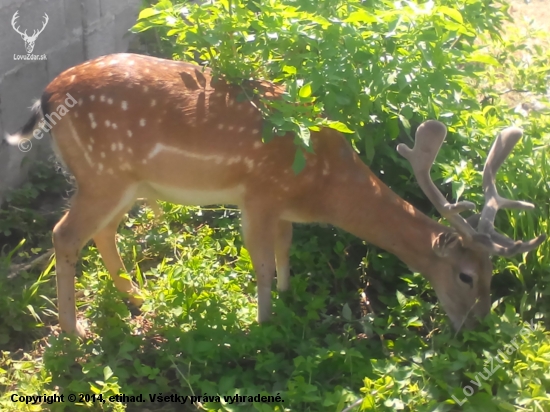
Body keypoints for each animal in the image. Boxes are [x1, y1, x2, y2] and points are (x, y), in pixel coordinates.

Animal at [5, 53, 548, 340]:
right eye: (466, 275)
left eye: (494, 275)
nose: (478, 326)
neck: (323, 187)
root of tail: (47, 97)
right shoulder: (259, 193)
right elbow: (261, 260)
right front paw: (263, 326)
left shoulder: (282, 207)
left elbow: (285, 250)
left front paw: (287, 302)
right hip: (103, 173)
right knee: (65, 234)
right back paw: (74, 333)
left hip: (124, 182)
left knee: (104, 233)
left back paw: (137, 298)